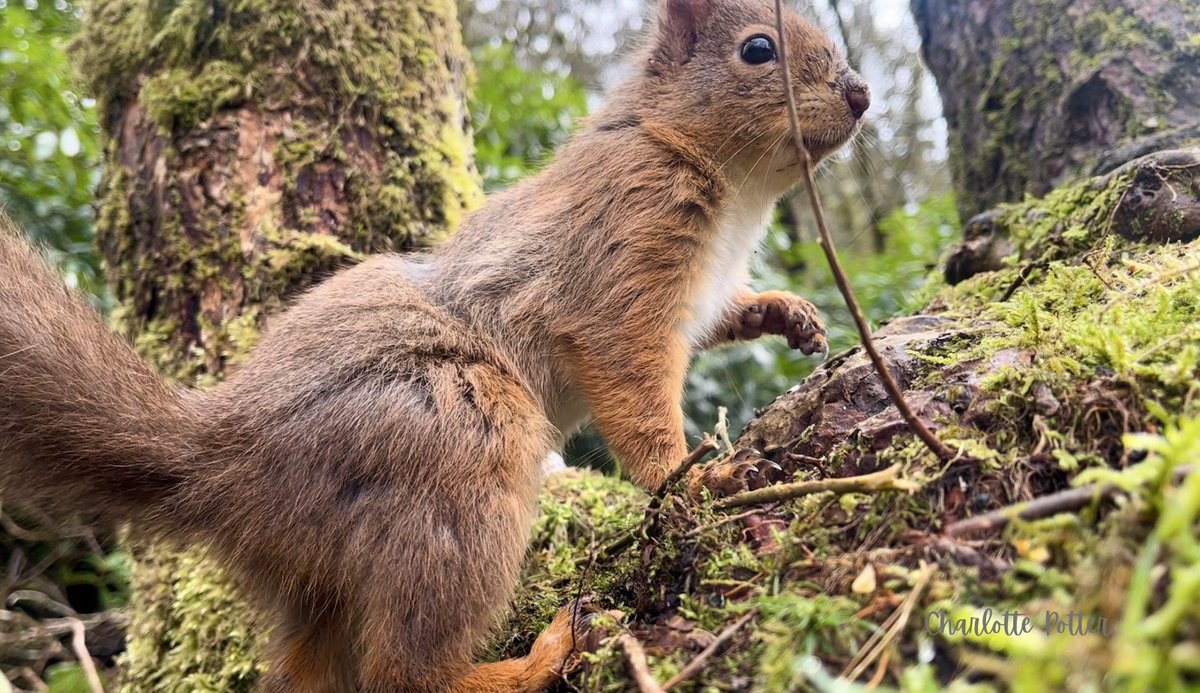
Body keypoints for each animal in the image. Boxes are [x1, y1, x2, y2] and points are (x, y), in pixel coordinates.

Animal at [0, 2, 864, 685]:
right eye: (758, 48)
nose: (859, 94)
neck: (728, 184)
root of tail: (224, 456)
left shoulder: (701, 288)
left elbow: (723, 316)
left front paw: (790, 314)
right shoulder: (625, 247)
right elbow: (633, 384)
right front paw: (697, 477)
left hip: (320, 580)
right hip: (460, 442)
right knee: (408, 673)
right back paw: (536, 659)